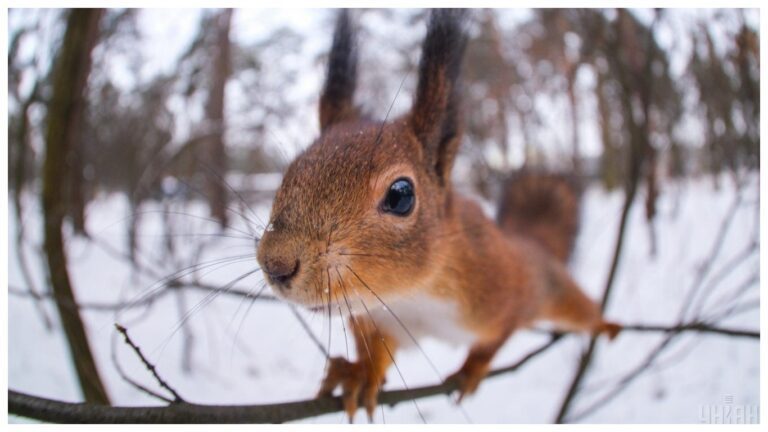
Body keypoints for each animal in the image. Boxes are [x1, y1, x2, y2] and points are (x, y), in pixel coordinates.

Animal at [255, 9, 620, 422]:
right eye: (288, 172)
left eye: (401, 196)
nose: (276, 265)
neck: (411, 294)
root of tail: (529, 241)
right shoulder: (375, 317)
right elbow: (375, 350)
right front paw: (361, 374)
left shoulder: (508, 290)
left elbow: (497, 336)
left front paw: (472, 369)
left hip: (552, 287)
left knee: (581, 310)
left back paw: (606, 325)